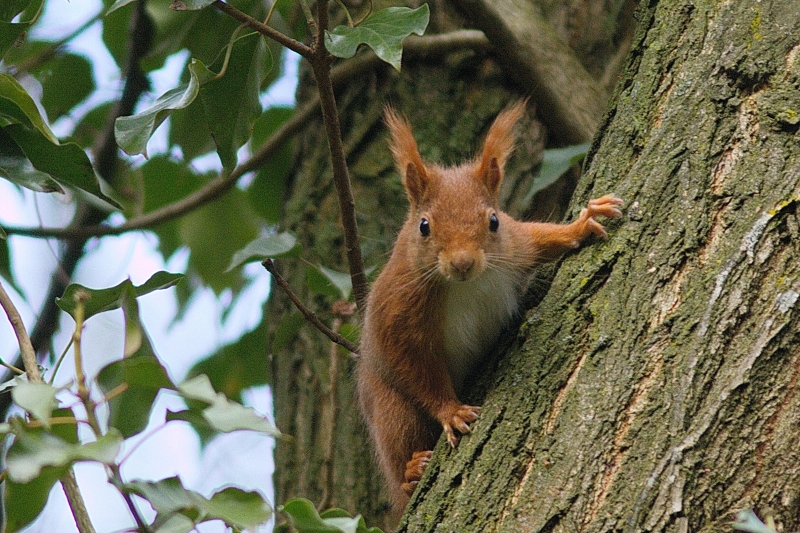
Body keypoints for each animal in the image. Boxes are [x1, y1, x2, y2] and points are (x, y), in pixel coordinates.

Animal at [358, 101, 624, 512]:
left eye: (494, 221)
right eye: (424, 226)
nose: (463, 263)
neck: (466, 285)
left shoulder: (515, 246)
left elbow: (540, 238)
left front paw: (581, 224)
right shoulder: (399, 306)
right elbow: (414, 364)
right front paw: (451, 411)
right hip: (387, 409)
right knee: (399, 441)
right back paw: (411, 472)